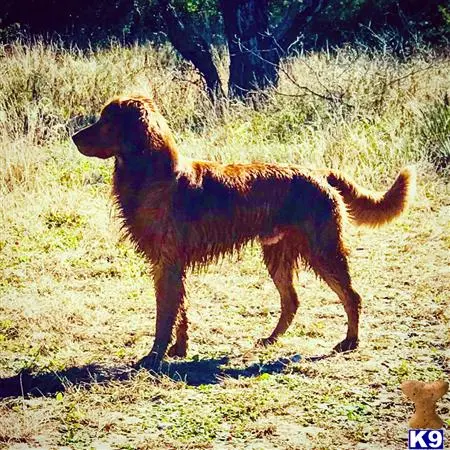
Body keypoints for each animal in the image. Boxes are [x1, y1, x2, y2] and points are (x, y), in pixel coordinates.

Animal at [73, 95, 414, 370]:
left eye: (106, 121)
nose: (74, 137)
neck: (155, 174)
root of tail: (318, 173)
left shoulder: (166, 263)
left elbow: (165, 315)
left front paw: (155, 356)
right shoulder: (171, 265)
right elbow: (181, 310)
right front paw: (179, 349)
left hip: (323, 251)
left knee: (351, 296)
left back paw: (349, 342)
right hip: (278, 255)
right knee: (292, 301)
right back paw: (270, 339)